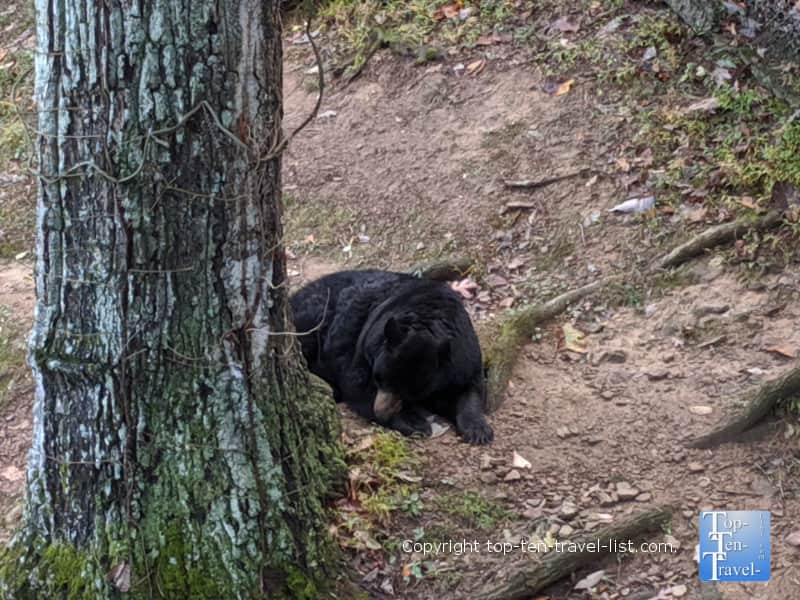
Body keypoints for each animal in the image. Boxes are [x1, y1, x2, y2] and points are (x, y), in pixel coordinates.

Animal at [290, 269, 493, 444]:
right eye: (379, 377)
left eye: (411, 393)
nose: (381, 412)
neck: (429, 319)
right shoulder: (362, 345)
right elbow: (356, 385)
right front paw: (414, 422)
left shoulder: (462, 353)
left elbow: (470, 386)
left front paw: (478, 430)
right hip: (315, 314)